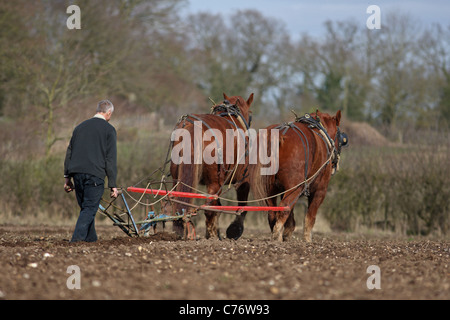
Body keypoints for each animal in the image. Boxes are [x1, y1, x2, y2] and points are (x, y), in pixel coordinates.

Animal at [169, 92, 255, 238]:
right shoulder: (243, 179)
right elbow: (241, 207)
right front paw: (234, 229)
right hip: (215, 182)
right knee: (209, 209)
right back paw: (211, 236)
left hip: (178, 179)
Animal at [250, 110, 348, 242]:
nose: (335, 163)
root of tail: (280, 135)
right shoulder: (320, 191)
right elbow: (309, 218)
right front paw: (307, 240)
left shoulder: (284, 190)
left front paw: (287, 233)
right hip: (295, 188)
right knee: (283, 209)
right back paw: (277, 236)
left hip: (270, 189)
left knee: (273, 212)